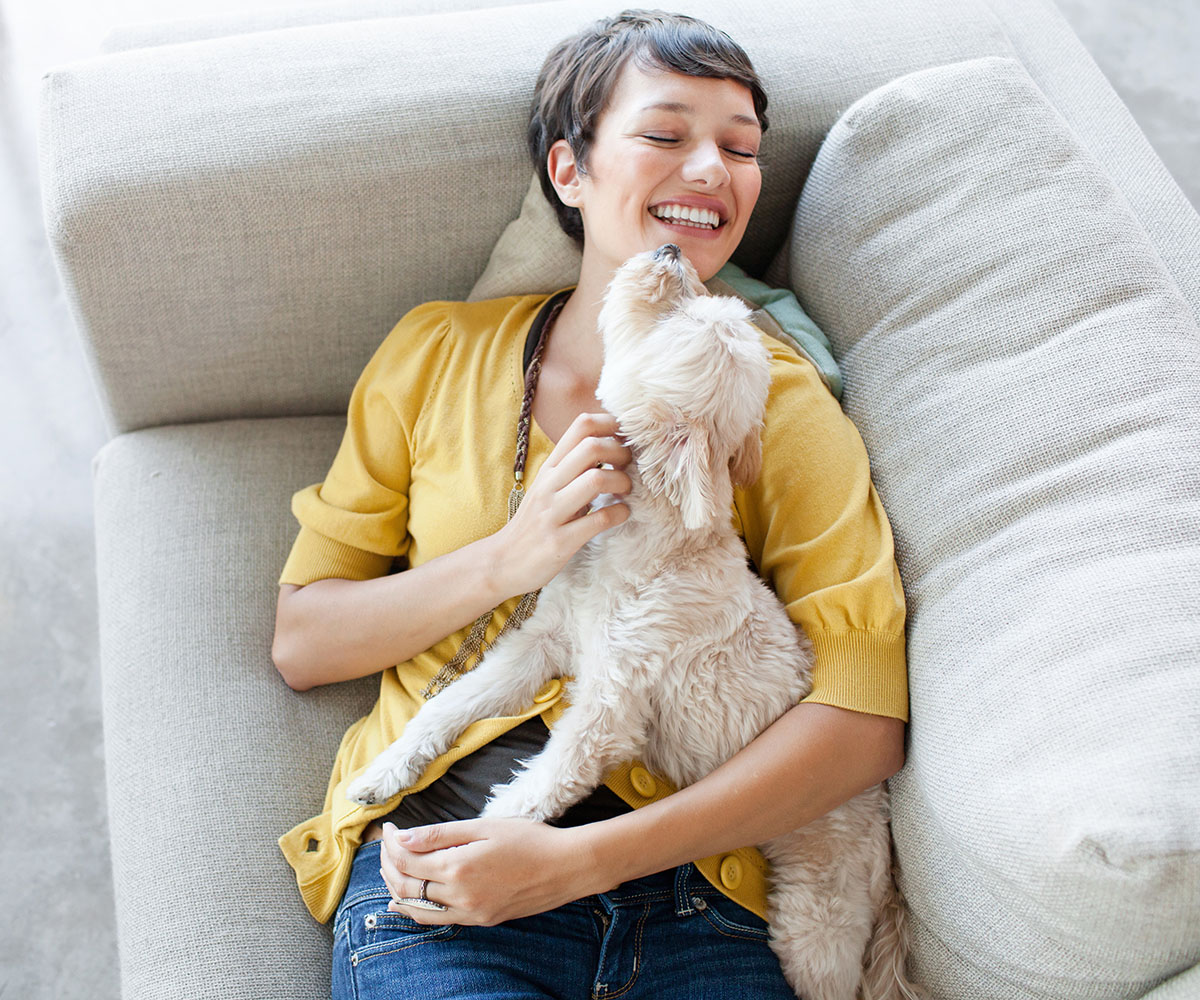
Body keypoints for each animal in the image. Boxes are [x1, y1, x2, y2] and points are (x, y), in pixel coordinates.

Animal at [348, 243, 916, 998]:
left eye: (676, 320)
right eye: (696, 300)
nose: (670, 250)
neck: (641, 547)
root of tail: (883, 840)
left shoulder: (609, 708)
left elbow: (542, 786)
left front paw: (486, 847)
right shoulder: (542, 646)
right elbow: (450, 706)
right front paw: (388, 770)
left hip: (816, 917)